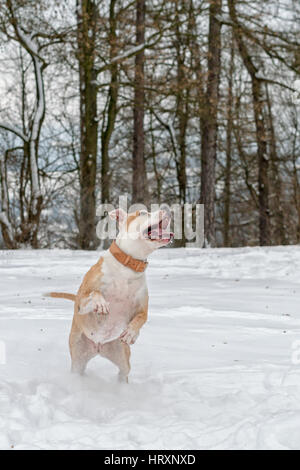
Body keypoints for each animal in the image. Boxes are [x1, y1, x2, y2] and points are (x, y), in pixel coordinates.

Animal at [47, 209, 173, 382]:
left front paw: (132, 333)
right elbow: (95, 292)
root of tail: (99, 347)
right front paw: (101, 304)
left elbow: (142, 318)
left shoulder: (142, 307)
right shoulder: (82, 300)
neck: (127, 267)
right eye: (142, 213)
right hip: (78, 359)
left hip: (122, 356)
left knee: (123, 372)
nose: (168, 210)